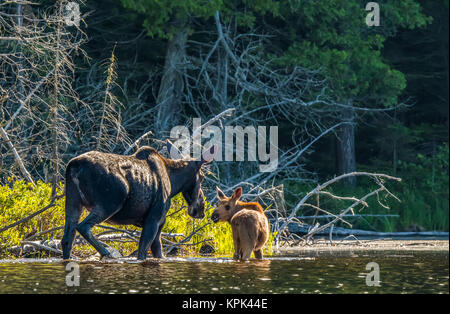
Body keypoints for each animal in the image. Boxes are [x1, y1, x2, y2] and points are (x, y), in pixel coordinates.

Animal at [61, 142, 216, 260]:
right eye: (202, 177)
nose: (201, 209)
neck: (174, 184)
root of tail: (74, 166)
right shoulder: (154, 219)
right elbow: (142, 252)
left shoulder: (159, 223)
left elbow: (158, 252)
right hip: (111, 202)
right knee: (83, 226)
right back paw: (107, 253)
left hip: (73, 202)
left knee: (67, 239)